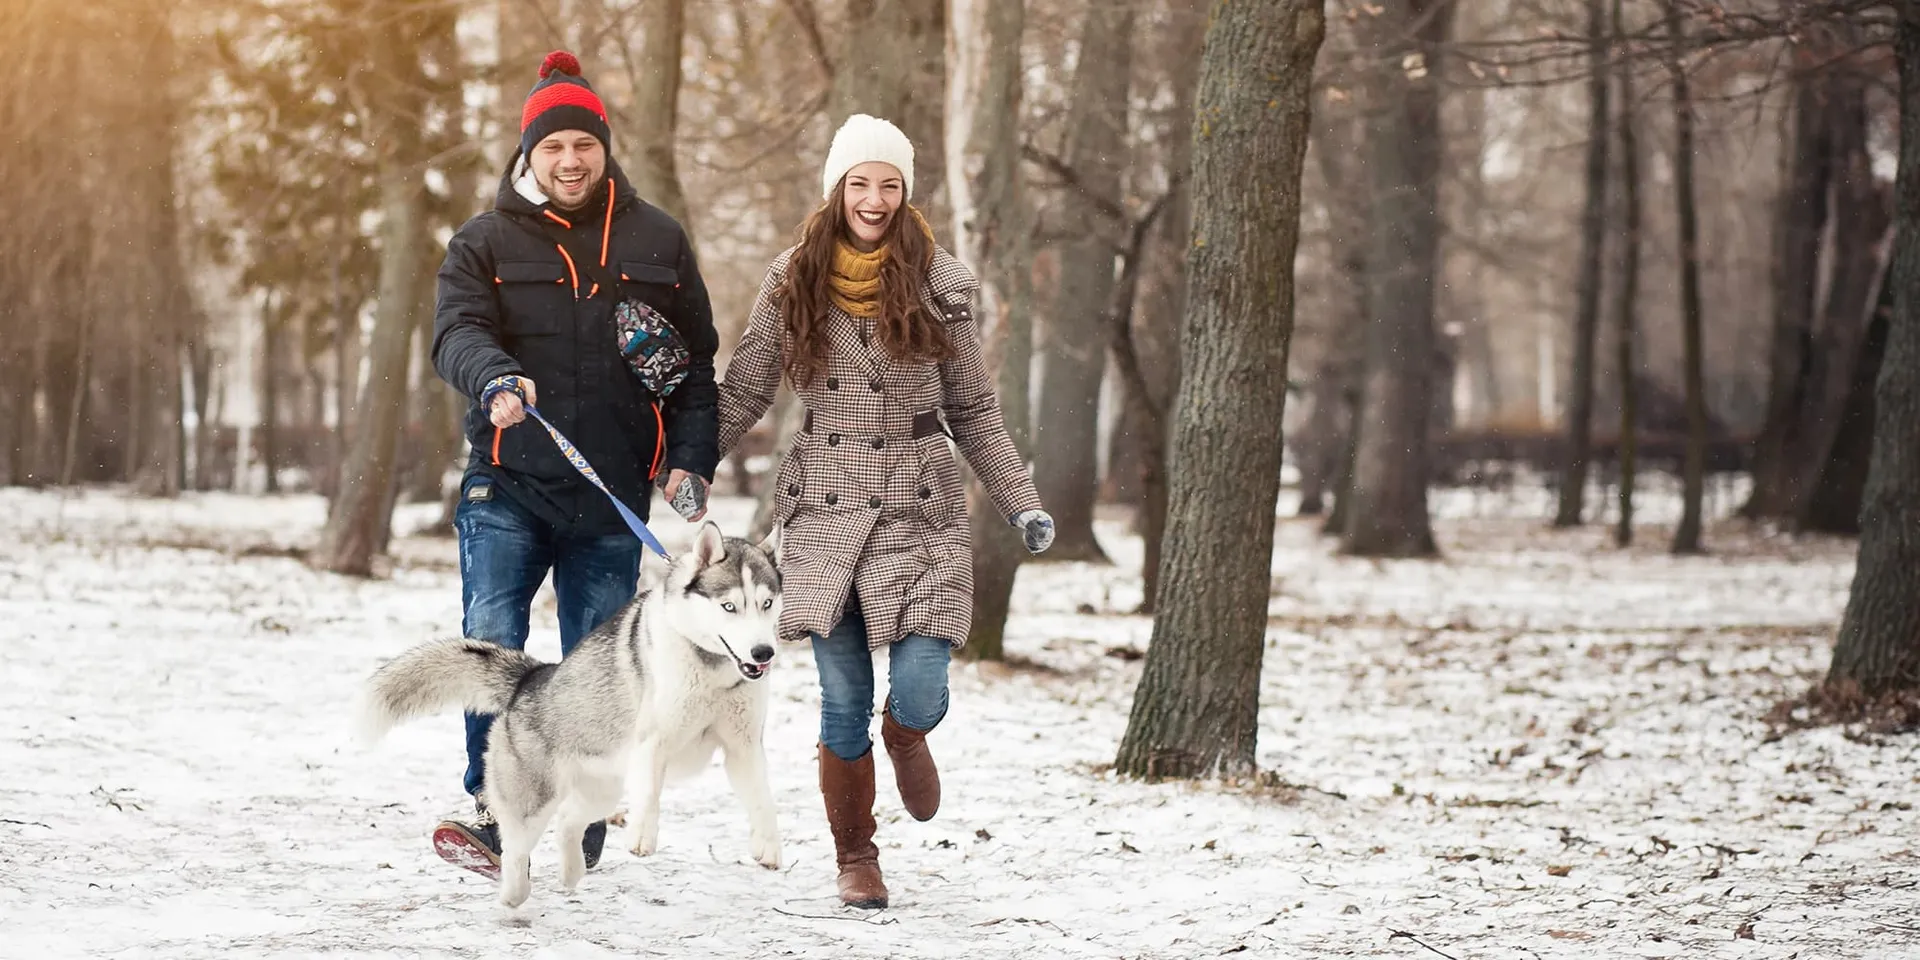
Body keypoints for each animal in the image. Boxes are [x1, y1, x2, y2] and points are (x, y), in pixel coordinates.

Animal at [357, 522, 783, 910]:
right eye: (729, 606)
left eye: (766, 604)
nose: (763, 653)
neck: (713, 668)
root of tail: (531, 678)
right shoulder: (653, 741)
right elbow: (649, 795)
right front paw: (643, 838)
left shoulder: (744, 746)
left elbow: (763, 798)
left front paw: (769, 847)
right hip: (534, 796)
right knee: (517, 846)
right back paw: (513, 894)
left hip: (603, 788)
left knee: (568, 821)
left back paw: (571, 871)